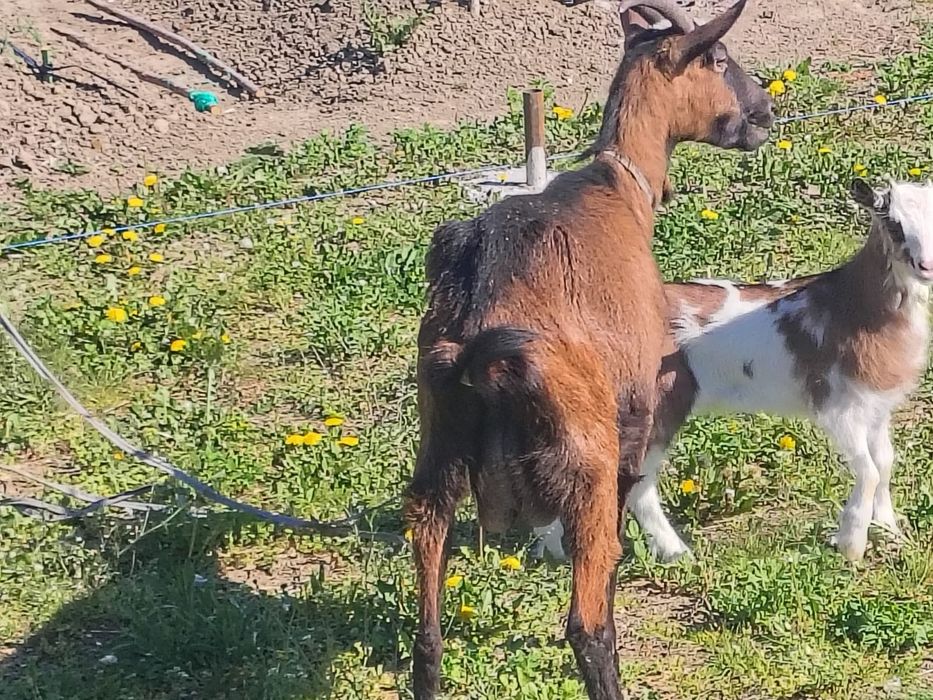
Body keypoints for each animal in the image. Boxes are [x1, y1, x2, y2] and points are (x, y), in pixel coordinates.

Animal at [402, 2, 774, 698]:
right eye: (717, 57)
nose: (763, 111)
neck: (618, 186)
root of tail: (476, 345)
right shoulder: (639, 403)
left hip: (438, 447)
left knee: (428, 633)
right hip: (585, 457)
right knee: (586, 625)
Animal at [535, 178, 933, 566]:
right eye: (893, 224)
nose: (926, 265)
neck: (854, 305)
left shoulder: (875, 406)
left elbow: (884, 462)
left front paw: (888, 529)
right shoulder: (837, 404)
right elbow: (867, 470)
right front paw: (852, 544)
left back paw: (554, 549)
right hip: (654, 408)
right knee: (635, 485)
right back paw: (676, 552)